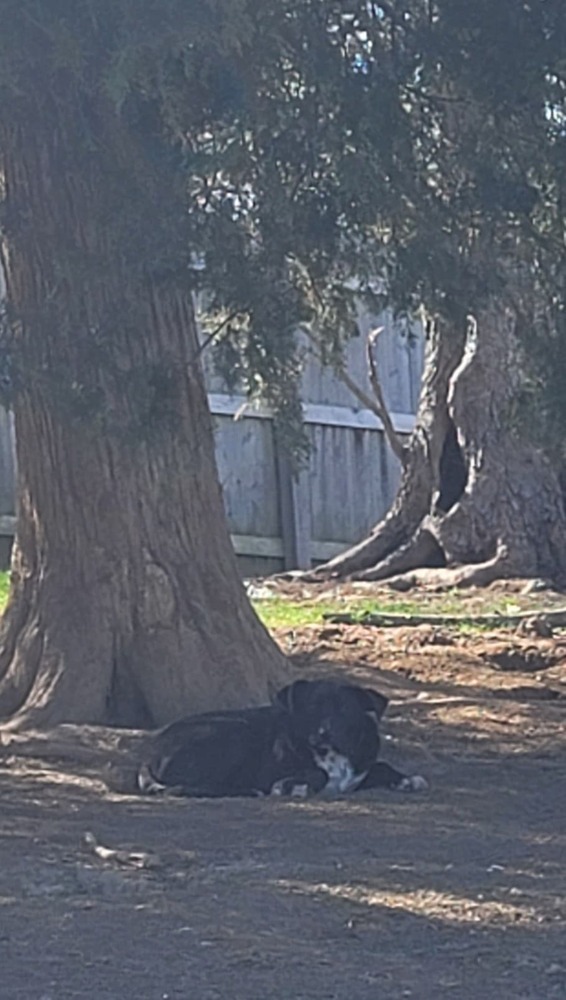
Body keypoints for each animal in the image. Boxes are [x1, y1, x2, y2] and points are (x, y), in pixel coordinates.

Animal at [139, 676, 430, 800]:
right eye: (312, 707)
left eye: (344, 709)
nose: (323, 733)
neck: (332, 754)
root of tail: (151, 753)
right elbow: (316, 774)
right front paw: (293, 786)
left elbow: (380, 765)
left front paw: (406, 779)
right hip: (231, 735)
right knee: (193, 786)